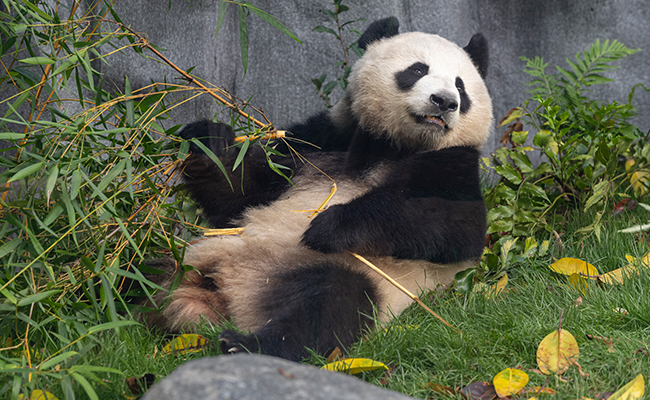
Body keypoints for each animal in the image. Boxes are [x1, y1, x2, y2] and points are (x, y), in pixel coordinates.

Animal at [145, 17, 493, 362]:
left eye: (460, 86)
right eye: (417, 70)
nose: (445, 102)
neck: (393, 146)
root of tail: (224, 297)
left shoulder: (453, 166)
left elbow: (455, 224)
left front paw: (328, 226)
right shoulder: (320, 142)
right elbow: (239, 192)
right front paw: (208, 140)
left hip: (346, 274)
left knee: (330, 304)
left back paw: (244, 344)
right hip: (185, 258)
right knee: (140, 272)